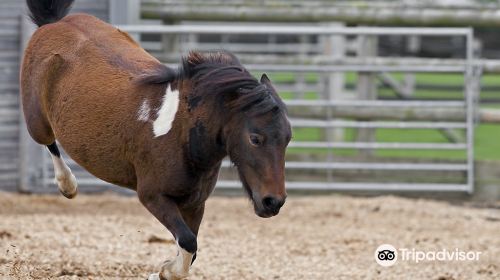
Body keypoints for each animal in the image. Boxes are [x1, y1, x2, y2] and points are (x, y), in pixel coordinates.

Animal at [21, 0, 292, 280]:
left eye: (287, 139)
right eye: (255, 138)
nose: (273, 202)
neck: (182, 134)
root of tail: (54, 23)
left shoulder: (195, 203)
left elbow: (191, 247)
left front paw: (163, 271)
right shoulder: (153, 196)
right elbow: (188, 242)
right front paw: (164, 271)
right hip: (37, 123)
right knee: (48, 141)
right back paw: (68, 185)